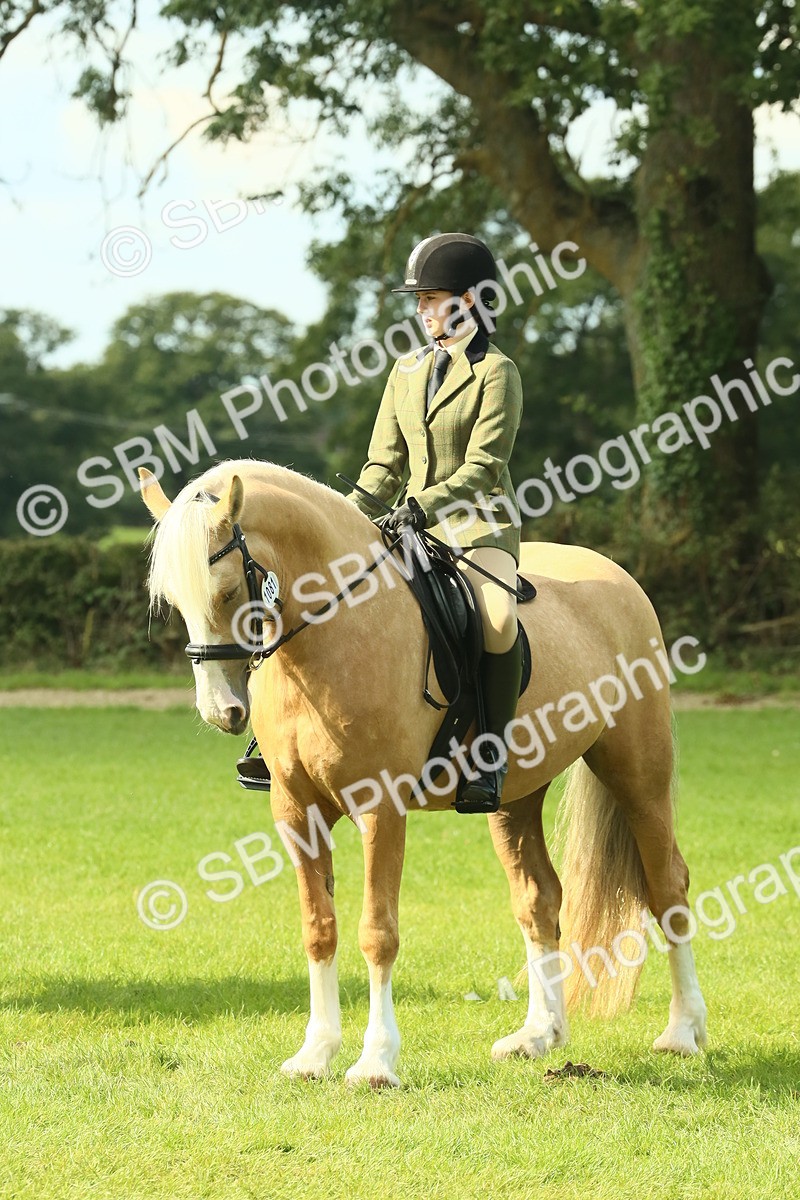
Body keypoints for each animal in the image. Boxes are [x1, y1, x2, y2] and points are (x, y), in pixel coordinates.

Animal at [140, 457, 707, 1087]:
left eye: (226, 589)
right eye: (172, 599)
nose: (222, 711)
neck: (335, 630)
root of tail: (617, 577)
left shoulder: (380, 807)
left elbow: (377, 932)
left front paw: (376, 1061)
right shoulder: (295, 810)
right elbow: (319, 927)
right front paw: (315, 1053)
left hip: (637, 772)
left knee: (667, 885)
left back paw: (683, 1032)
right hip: (516, 796)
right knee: (539, 898)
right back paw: (539, 1036)